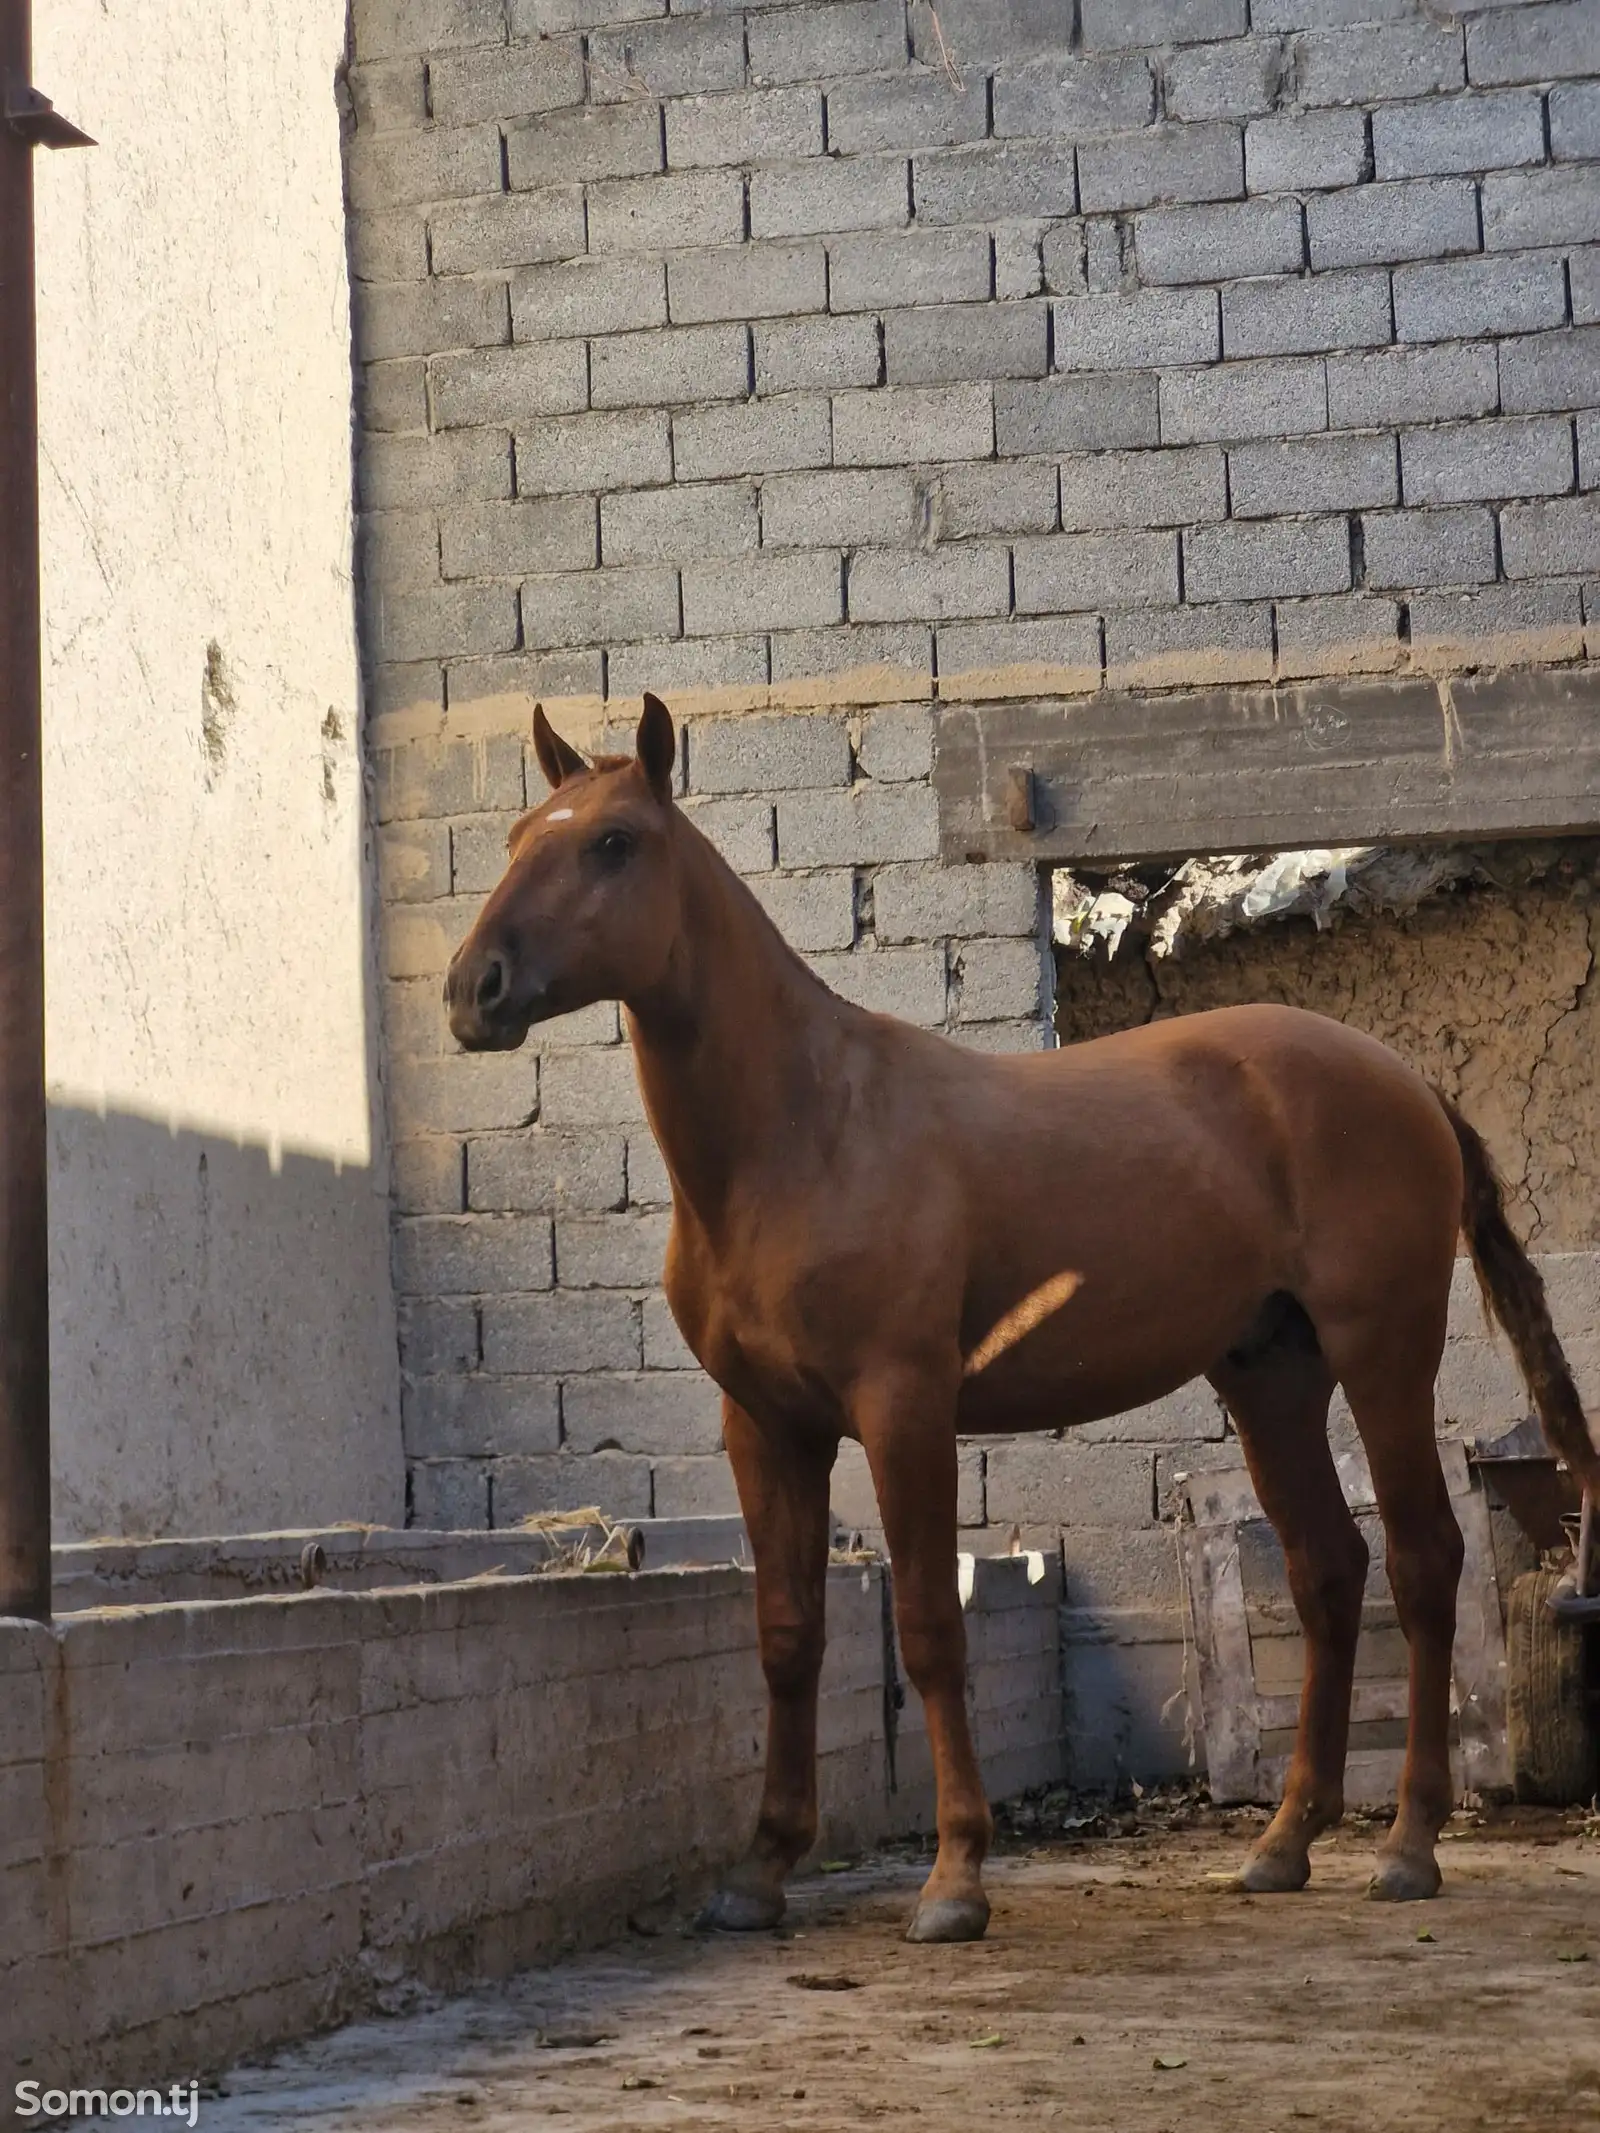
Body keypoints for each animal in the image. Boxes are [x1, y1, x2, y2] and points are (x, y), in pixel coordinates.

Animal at [448, 691, 1600, 1945]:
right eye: (515, 837)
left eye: (613, 843)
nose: (473, 990)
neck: (804, 1132)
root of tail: (1404, 1079)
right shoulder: (766, 1424)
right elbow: (787, 1635)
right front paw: (759, 1871)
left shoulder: (903, 1407)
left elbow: (928, 1628)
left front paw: (954, 1877)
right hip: (1270, 1372)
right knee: (1327, 1570)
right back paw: (1285, 1843)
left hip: (1380, 1349)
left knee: (1422, 1561)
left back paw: (1407, 1845)